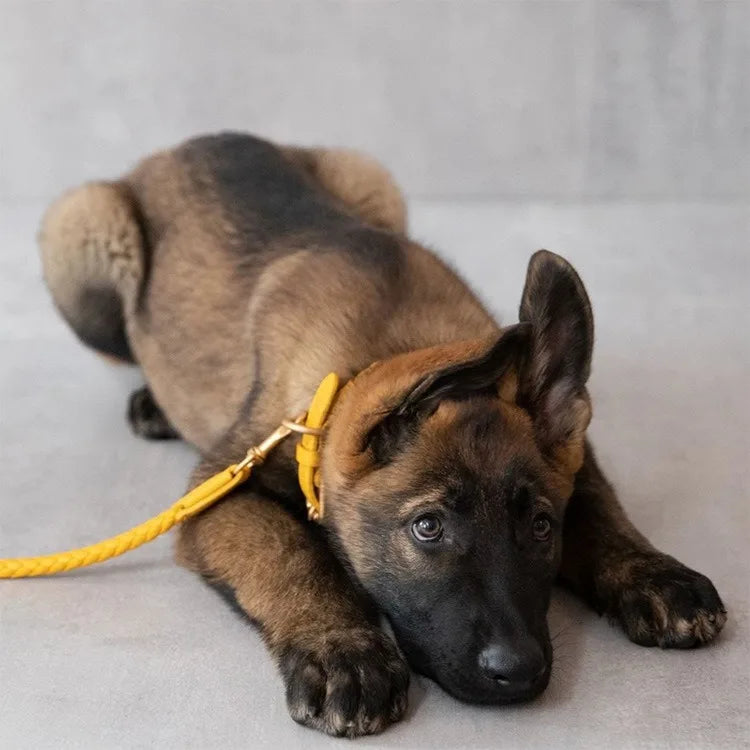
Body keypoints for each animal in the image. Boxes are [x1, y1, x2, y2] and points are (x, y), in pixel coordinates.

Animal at [36, 132, 728, 736]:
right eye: (427, 527)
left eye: (540, 526)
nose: (521, 673)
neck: (393, 341)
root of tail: (188, 144)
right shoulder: (217, 489)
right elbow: (291, 554)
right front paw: (343, 650)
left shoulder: (575, 457)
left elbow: (602, 511)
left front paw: (653, 574)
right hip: (85, 230)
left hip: (373, 180)